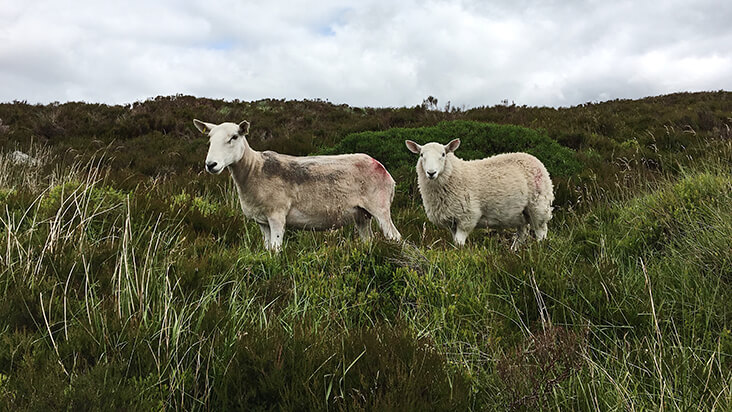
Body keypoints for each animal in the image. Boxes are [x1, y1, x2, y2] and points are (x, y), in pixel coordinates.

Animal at [194, 119, 400, 253]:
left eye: (234, 137)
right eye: (209, 139)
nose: (211, 165)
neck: (254, 169)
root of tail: (383, 169)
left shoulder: (277, 215)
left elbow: (276, 249)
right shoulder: (262, 221)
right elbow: (268, 249)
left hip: (380, 208)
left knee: (395, 237)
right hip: (361, 215)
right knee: (368, 240)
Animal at [404, 138, 552, 249]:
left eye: (443, 154)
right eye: (421, 155)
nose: (431, 173)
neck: (454, 174)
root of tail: (536, 160)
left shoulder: (467, 217)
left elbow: (459, 243)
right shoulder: (451, 220)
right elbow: (455, 241)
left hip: (539, 205)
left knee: (541, 230)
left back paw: (540, 248)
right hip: (521, 213)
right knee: (522, 233)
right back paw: (514, 251)